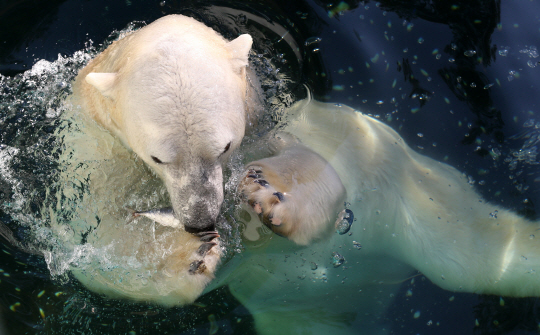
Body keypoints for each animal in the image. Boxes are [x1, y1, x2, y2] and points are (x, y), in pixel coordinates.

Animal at [63, 12, 540, 334]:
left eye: (224, 146)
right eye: (159, 157)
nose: (201, 219)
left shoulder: (279, 125)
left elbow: (313, 163)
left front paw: (268, 195)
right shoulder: (93, 155)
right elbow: (95, 244)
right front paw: (191, 256)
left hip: (408, 193)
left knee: (468, 250)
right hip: (303, 311)